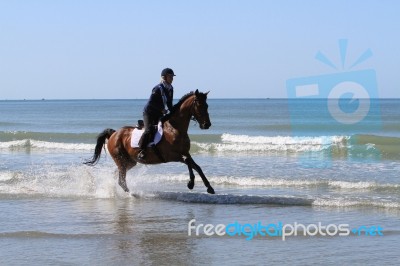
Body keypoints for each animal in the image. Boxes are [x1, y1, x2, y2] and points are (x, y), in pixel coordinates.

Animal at [84, 90, 216, 194]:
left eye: (207, 106)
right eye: (199, 105)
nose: (207, 125)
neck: (175, 128)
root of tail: (114, 134)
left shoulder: (185, 152)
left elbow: (196, 166)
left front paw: (209, 187)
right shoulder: (171, 155)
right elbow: (188, 162)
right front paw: (191, 183)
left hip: (129, 162)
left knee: (117, 175)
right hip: (120, 159)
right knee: (121, 180)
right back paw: (131, 194)